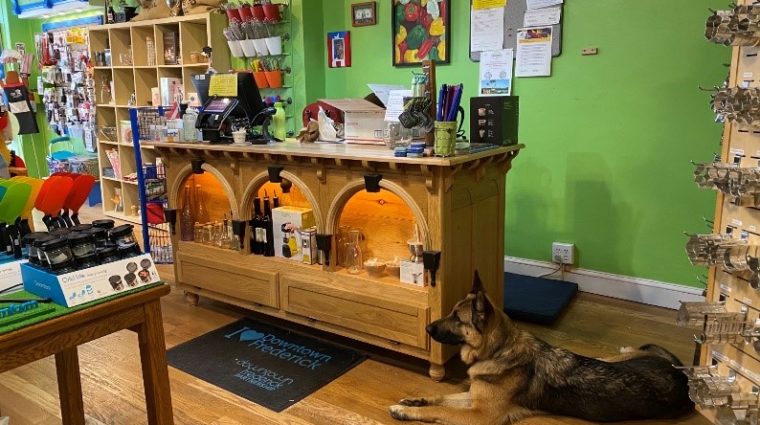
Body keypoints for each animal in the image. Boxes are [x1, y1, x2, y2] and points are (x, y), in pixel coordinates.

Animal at [392, 274, 696, 422]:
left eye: (457, 318)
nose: (427, 330)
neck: (499, 350)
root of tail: (679, 372)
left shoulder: (481, 415)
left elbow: (441, 410)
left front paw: (411, 412)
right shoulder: (474, 397)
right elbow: (441, 397)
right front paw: (414, 401)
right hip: (608, 357)